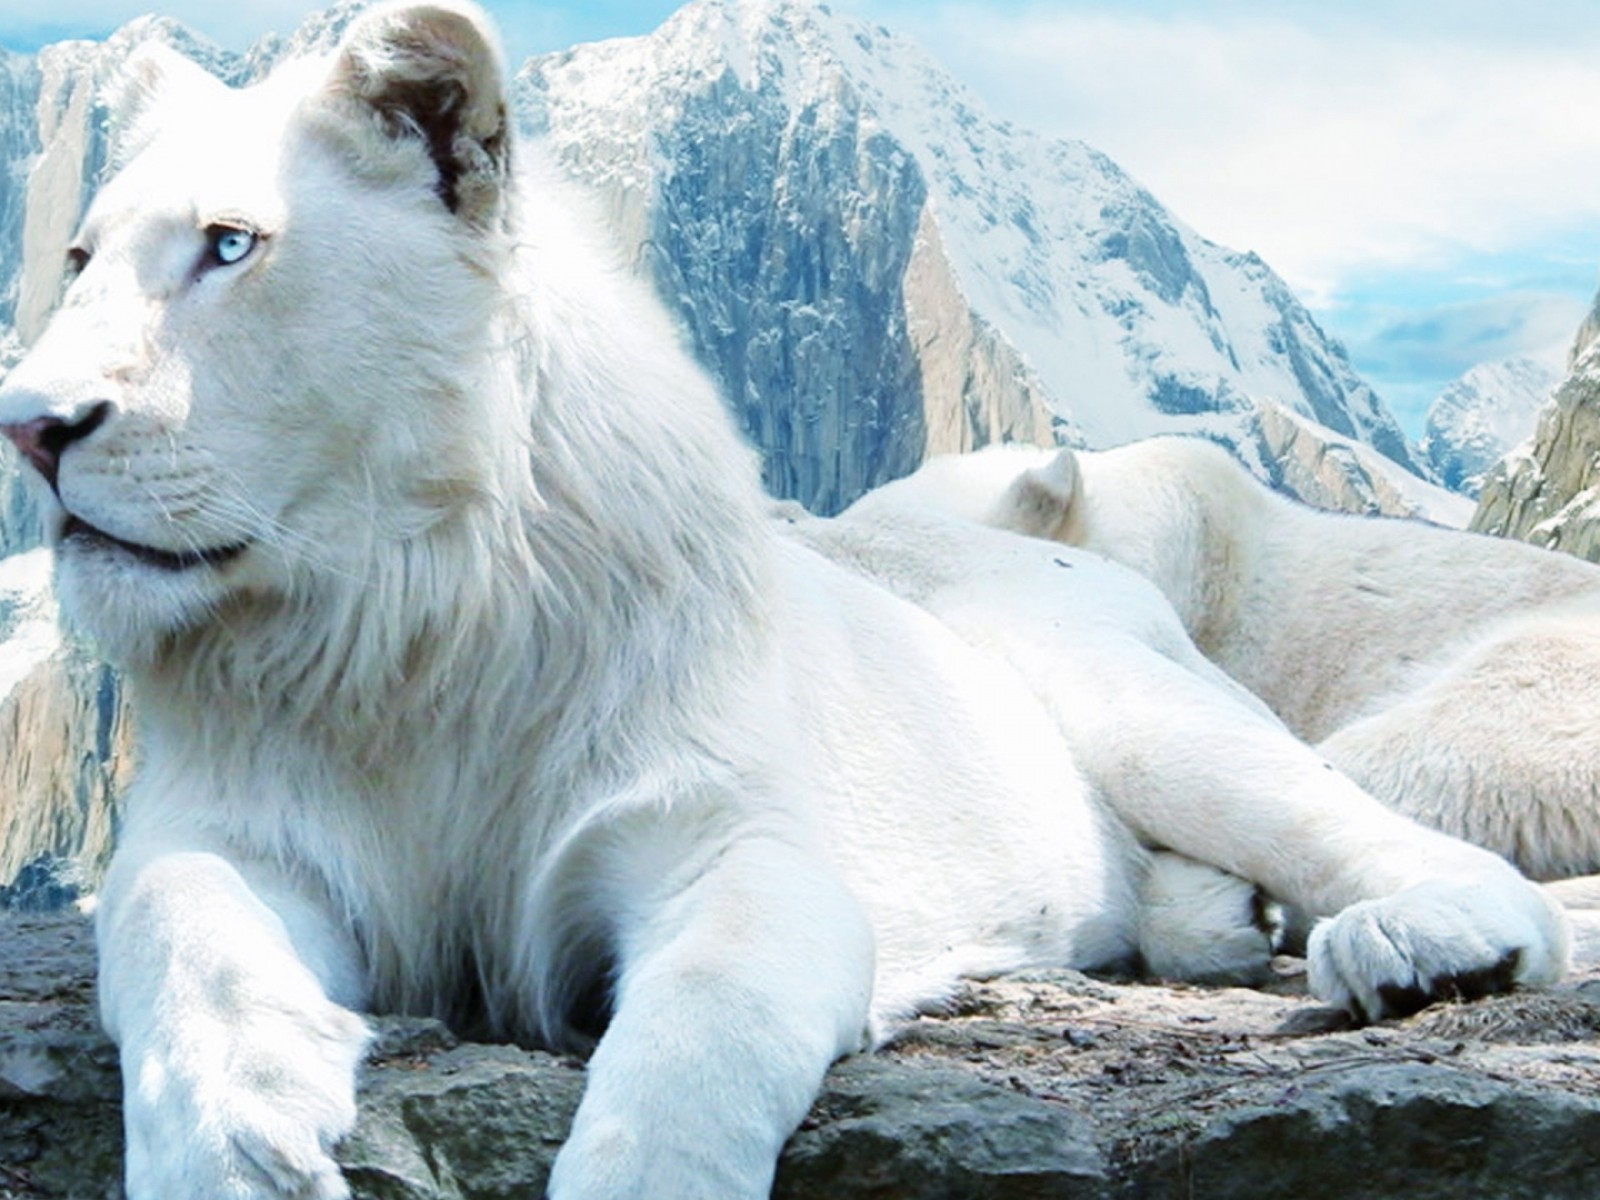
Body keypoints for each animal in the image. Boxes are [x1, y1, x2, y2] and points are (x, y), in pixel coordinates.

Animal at [0, 5, 1569, 1197]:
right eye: (76, 259)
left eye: (230, 245)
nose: (30, 426)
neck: (402, 621)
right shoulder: (227, 835)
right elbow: (189, 952)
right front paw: (244, 1148)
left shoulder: (731, 848)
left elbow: (691, 1062)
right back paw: (1224, 922)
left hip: (1150, 711)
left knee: (1409, 846)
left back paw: (1416, 948)